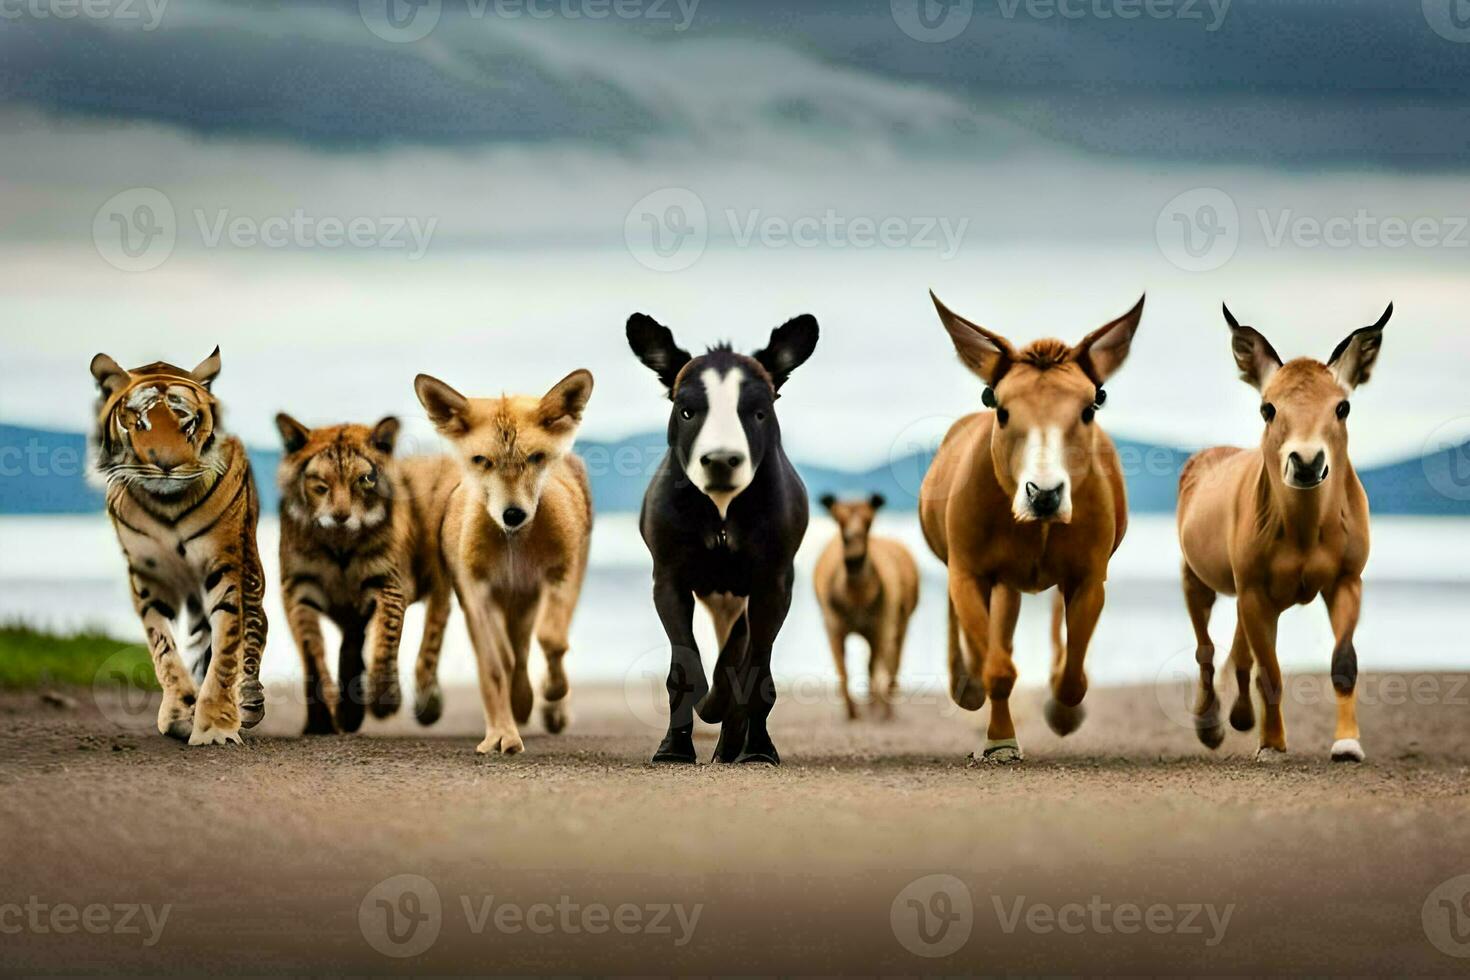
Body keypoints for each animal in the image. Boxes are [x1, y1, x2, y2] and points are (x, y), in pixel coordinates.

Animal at [89, 348, 267, 746]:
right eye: (138, 422)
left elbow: (227, 648)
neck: (168, 503)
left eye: (186, 423)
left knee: (253, 631)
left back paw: (249, 704)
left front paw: (216, 726)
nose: (166, 464)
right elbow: (164, 649)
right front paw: (181, 713)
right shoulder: (147, 576)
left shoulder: (223, 567)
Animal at [276, 411, 458, 731]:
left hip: (438, 579)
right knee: (351, 642)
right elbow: (311, 649)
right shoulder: (298, 588)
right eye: (321, 483)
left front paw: (385, 700)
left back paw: (427, 705)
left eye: (364, 480)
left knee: (433, 633)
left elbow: (386, 638)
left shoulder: (387, 583)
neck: (339, 545)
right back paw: (349, 713)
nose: (341, 516)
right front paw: (322, 721)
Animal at [626, 314, 823, 764]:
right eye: (686, 411)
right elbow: (684, 666)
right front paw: (674, 747)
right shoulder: (668, 578)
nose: (720, 460)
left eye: (759, 413)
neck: (720, 511)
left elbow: (755, 674)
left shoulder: (773, 584)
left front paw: (758, 748)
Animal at [917, 293, 1134, 764]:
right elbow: (996, 668)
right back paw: (965, 683)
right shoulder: (969, 571)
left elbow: (1073, 679)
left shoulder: (1088, 576)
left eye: (1091, 405)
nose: (1044, 494)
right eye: (999, 406)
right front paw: (1000, 740)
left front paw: (1063, 711)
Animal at [1170, 302, 1387, 764]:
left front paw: (1347, 744)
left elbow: (1344, 662)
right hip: (1197, 577)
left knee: (1238, 651)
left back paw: (1238, 718)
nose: (1306, 462)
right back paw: (1210, 725)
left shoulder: (1347, 579)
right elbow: (1268, 671)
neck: (1305, 533)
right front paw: (1271, 744)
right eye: (1267, 408)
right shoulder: (1253, 589)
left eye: (1342, 407)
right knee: (1206, 648)